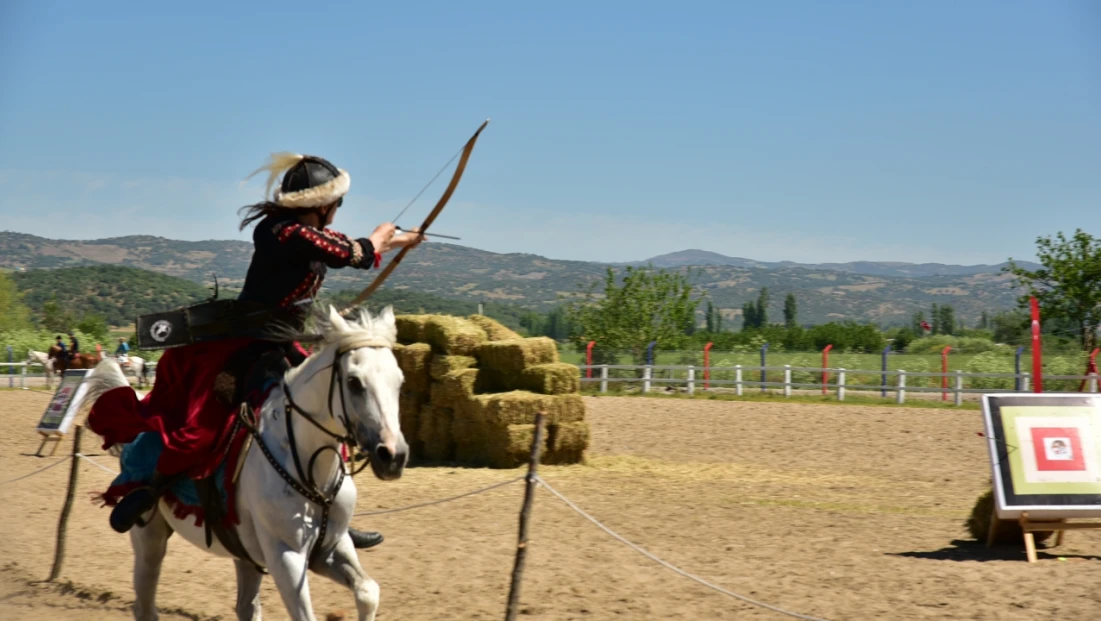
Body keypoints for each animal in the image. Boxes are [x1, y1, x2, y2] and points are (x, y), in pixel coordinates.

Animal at [82, 306, 409, 621]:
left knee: (246, 609)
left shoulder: (332, 548)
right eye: (354, 382)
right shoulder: (286, 558)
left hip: (246, 557)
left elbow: (368, 592)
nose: (393, 456)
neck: (309, 466)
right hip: (149, 537)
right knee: (146, 605)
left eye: (400, 381)